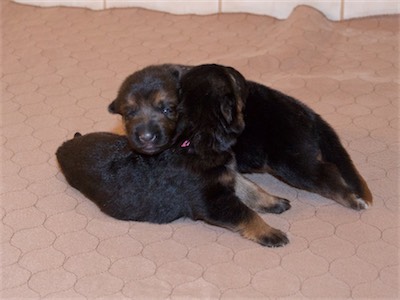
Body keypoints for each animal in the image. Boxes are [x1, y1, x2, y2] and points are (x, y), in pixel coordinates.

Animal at [56, 64, 290, 247]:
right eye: (234, 80)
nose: (241, 76)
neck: (195, 138)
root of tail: (64, 147)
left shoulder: (225, 174)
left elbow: (252, 189)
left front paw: (274, 202)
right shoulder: (212, 200)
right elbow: (246, 213)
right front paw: (270, 233)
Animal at [109, 62, 372, 211]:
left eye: (167, 109)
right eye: (129, 113)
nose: (146, 137)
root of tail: (308, 113)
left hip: (293, 161)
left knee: (327, 173)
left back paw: (351, 199)